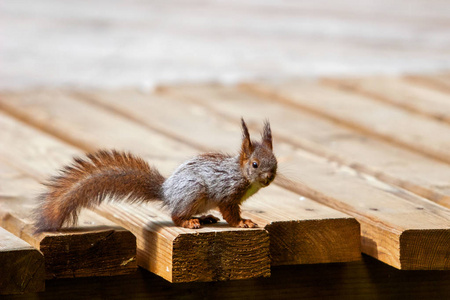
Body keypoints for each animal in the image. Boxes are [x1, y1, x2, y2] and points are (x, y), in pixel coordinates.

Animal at [33, 118, 276, 233]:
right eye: (255, 164)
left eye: (275, 161)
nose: (269, 177)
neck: (241, 173)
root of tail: (166, 191)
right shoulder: (227, 192)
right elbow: (230, 212)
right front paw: (242, 222)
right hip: (194, 192)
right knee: (176, 215)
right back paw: (189, 222)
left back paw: (204, 217)